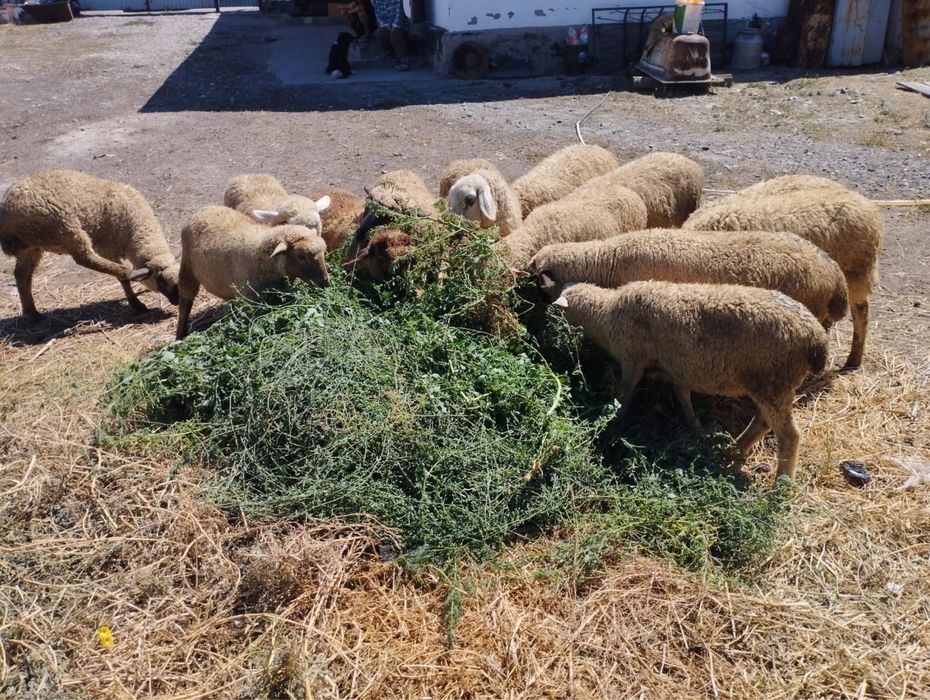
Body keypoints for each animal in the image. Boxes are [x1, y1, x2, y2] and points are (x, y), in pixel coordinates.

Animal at [0, 169, 180, 320]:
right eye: (161, 280)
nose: (178, 300)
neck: (136, 231)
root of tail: (6, 208)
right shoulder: (108, 246)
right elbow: (122, 280)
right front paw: (135, 303)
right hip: (64, 228)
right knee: (85, 258)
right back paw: (128, 273)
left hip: (32, 244)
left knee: (21, 274)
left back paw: (31, 313)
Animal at [176, 206, 329, 339]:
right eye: (301, 256)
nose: (326, 283)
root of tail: (204, 209)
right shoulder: (251, 301)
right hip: (187, 268)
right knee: (185, 303)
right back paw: (180, 336)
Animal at [554, 281, 830, 479]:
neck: (605, 314)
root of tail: (817, 339)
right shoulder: (682, 368)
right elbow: (682, 394)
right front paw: (694, 425)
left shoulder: (631, 358)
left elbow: (625, 392)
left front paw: (614, 421)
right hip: (771, 384)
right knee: (762, 422)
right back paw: (734, 450)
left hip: (773, 382)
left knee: (788, 435)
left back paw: (781, 483)